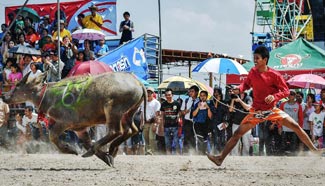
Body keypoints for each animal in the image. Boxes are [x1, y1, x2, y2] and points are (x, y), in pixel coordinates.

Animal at [5, 72, 146, 166]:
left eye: (18, 85)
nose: (5, 96)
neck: (50, 95)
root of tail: (138, 82)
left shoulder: (64, 122)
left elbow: (52, 136)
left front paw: (70, 149)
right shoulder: (80, 129)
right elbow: (86, 142)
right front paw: (105, 158)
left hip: (112, 110)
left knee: (116, 131)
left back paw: (104, 149)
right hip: (127, 114)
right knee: (131, 130)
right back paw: (111, 150)